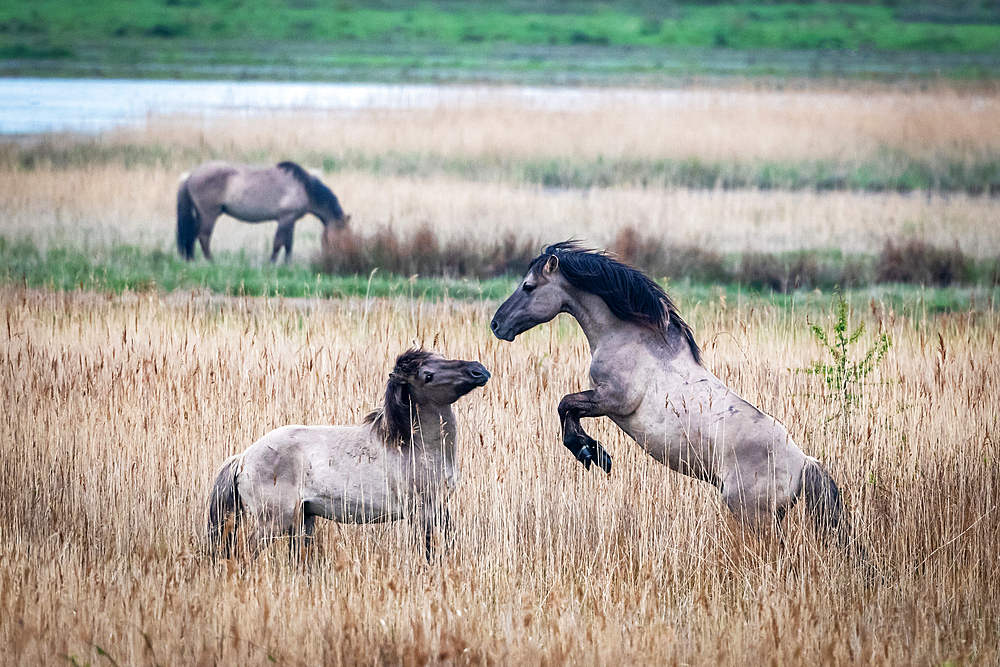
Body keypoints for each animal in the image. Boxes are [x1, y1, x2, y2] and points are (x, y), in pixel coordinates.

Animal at [176, 161, 352, 264]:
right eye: (342, 237)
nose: (336, 257)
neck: (304, 188)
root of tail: (191, 175)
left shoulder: (291, 220)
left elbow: (289, 244)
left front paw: (287, 265)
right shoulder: (285, 218)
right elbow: (278, 243)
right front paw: (272, 263)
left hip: (201, 215)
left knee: (192, 236)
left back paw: (191, 260)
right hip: (209, 215)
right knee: (203, 237)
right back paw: (211, 261)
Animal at [208, 348, 492, 560]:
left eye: (441, 355)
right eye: (428, 375)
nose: (479, 370)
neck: (415, 446)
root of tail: (242, 459)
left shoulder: (441, 507)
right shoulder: (423, 511)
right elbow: (431, 551)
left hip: (302, 521)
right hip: (272, 523)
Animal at [492, 243, 868, 556]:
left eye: (528, 287)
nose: (496, 324)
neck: (628, 335)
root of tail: (803, 462)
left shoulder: (613, 401)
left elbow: (565, 405)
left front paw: (592, 454)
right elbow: (567, 408)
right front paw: (593, 452)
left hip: (751, 514)